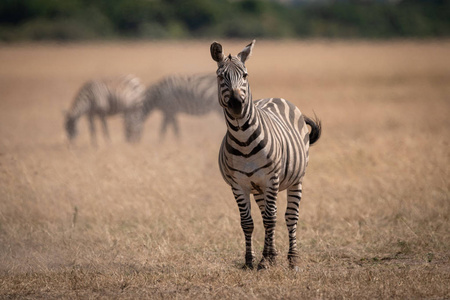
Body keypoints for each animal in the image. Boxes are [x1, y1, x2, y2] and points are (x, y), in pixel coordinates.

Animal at [209, 39, 322, 270]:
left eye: (245, 75)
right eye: (220, 76)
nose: (237, 104)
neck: (243, 139)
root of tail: (276, 98)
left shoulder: (271, 179)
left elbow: (271, 219)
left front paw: (266, 259)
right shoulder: (239, 185)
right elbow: (248, 222)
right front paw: (251, 260)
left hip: (295, 179)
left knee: (289, 216)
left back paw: (292, 258)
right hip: (258, 188)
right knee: (266, 214)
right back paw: (272, 254)